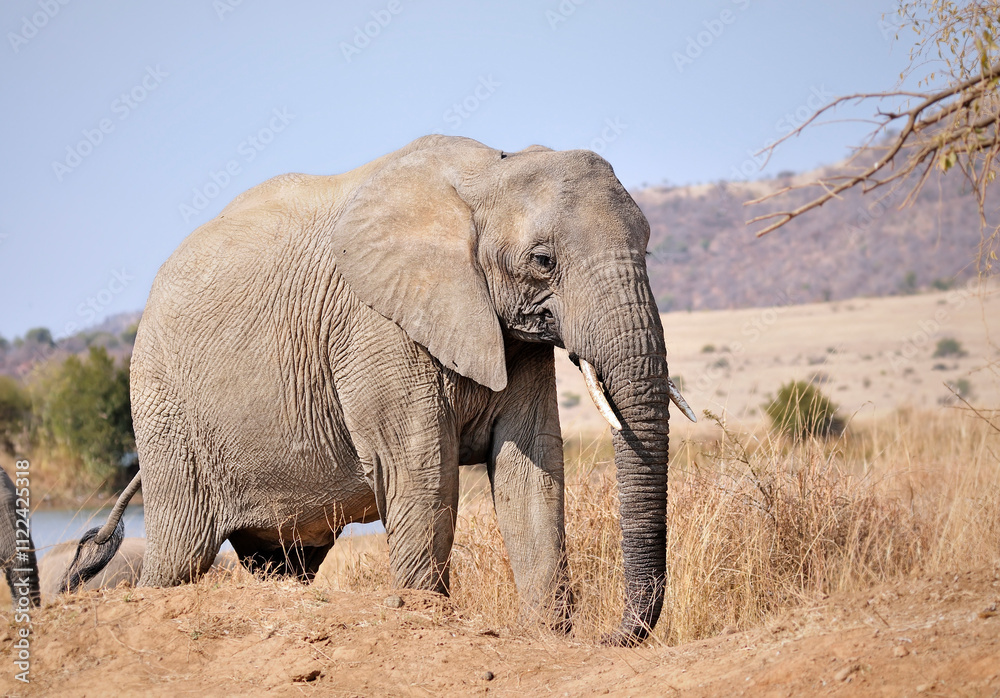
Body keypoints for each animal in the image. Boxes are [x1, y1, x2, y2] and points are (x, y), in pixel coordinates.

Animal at [65, 135, 695, 645]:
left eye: (647, 247)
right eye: (543, 261)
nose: (611, 635)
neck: (488, 172)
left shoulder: (510, 335)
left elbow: (530, 469)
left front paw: (547, 639)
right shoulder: (376, 328)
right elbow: (422, 473)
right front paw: (428, 617)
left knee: (284, 561)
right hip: (165, 406)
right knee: (179, 556)